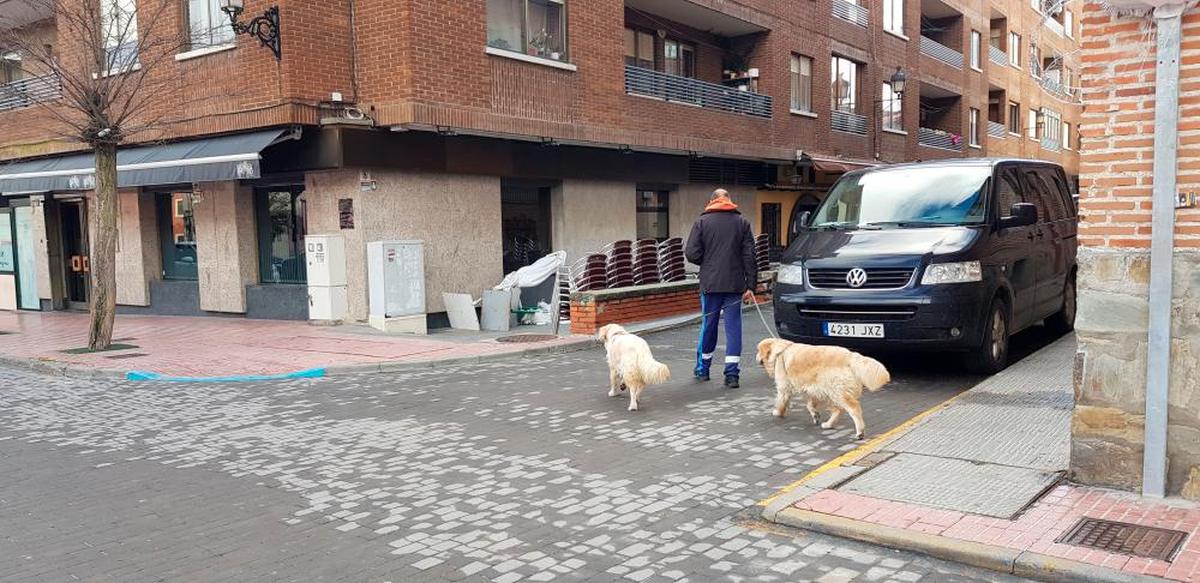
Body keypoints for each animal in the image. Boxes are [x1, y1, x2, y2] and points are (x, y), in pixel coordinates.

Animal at [758, 338, 892, 439]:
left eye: (758, 350)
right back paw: (828, 424)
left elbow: (781, 401)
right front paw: (815, 415)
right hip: (832, 392)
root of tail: (850, 356)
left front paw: (778, 412)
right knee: (838, 410)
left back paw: (860, 432)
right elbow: (810, 405)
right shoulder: (815, 390)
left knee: (854, 409)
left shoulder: (783, 387)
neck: (780, 352)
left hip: (838, 392)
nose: (756, 357)